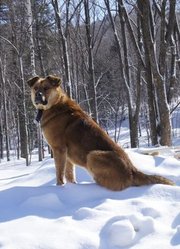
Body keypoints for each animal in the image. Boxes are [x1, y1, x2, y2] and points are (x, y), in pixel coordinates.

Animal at [27, 75, 174, 190]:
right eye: (35, 88)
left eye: (46, 88)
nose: (38, 95)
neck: (54, 105)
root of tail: (133, 171)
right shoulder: (67, 156)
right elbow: (69, 174)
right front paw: (71, 186)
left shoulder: (59, 149)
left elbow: (59, 173)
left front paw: (59, 187)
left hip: (92, 156)